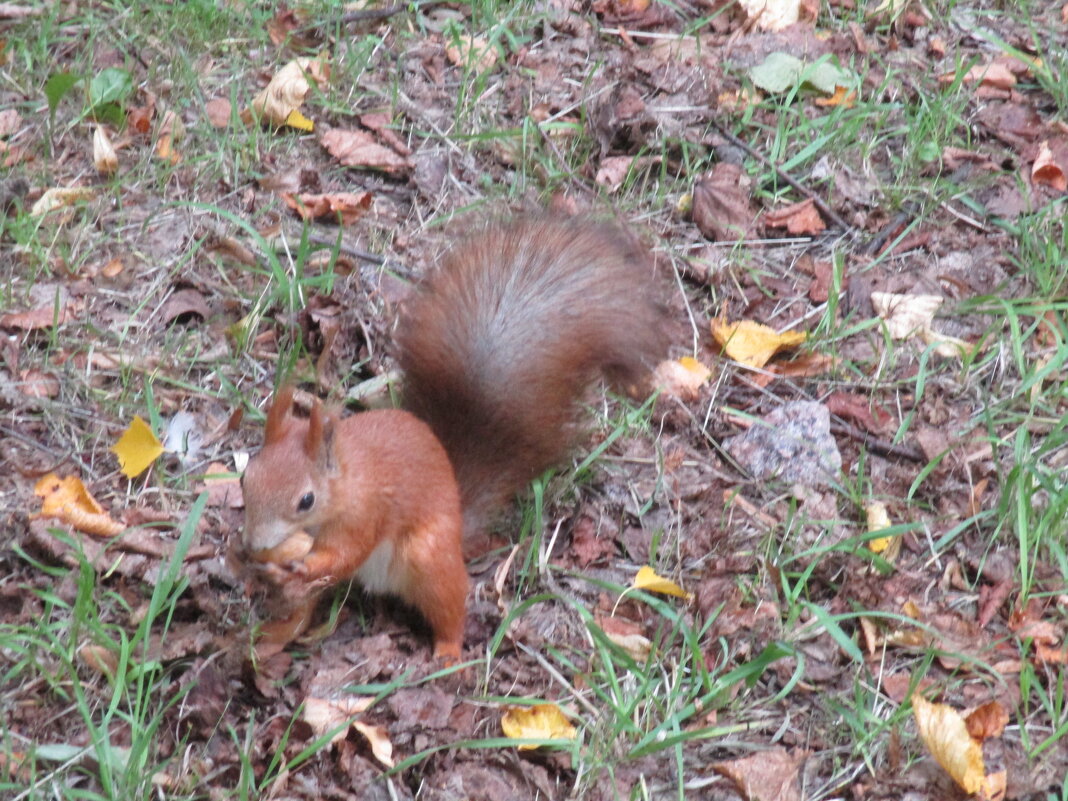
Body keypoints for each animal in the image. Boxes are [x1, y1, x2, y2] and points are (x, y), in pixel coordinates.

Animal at [238, 213, 666, 657]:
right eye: (245, 478)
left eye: (306, 500)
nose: (251, 544)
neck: (346, 481)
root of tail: (460, 524)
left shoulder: (367, 513)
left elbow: (344, 554)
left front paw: (299, 565)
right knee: (309, 604)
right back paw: (276, 635)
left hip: (428, 560)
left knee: (450, 606)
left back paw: (448, 652)